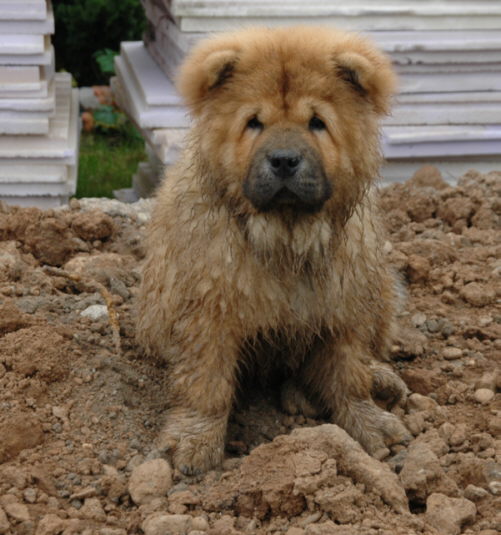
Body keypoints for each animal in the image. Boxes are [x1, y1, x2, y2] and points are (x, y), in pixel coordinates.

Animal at [136, 27, 410, 476]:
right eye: (254, 123)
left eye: (317, 123)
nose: (284, 160)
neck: (285, 237)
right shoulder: (207, 310)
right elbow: (206, 382)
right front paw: (195, 441)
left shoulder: (343, 303)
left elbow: (349, 372)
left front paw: (369, 422)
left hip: (382, 289)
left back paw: (380, 378)